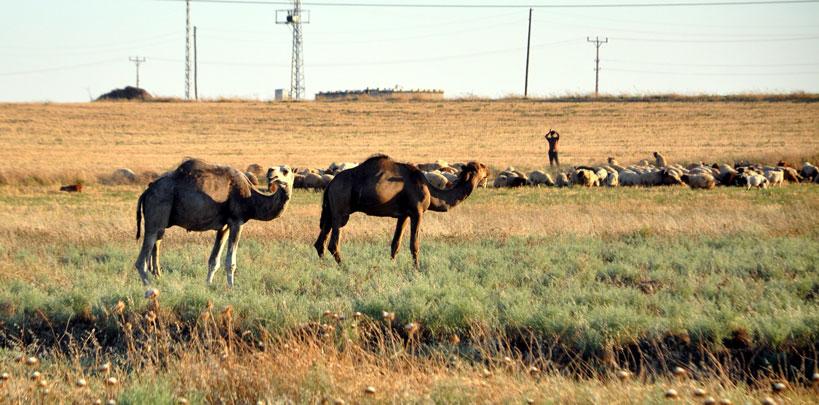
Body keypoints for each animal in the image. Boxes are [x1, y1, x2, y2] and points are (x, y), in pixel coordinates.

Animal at [131, 158, 292, 288]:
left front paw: (208, 284)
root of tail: (146, 192)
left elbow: (214, 260)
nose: (271, 172)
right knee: (142, 256)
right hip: (157, 211)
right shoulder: (236, 221)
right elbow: (230, 262)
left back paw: (157, 278)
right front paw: (231, 287)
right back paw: (149, 286)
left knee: (156, 243)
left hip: (162, 220)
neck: (251, 198)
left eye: (286, 170)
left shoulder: (224, 226)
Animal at [314, 154, 486, 266]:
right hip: (341, 211)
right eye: (481, 167)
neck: (429, 189)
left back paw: (323, 267)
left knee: (320, 242)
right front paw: (416, 270)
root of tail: (330, 185)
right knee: (333, 243)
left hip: (330, 211)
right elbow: (414, 244)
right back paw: (344, 267)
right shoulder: (417, 212)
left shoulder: (403, 215)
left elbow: (395, 244)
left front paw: (392, 266)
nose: (488, 170)